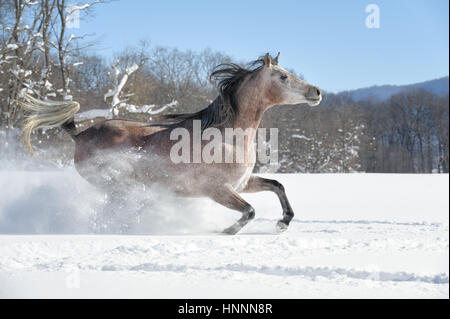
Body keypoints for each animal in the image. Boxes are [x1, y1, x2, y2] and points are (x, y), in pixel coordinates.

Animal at [20, 53, 320, 235]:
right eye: (283, 76)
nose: (316, 92)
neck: (227, 137)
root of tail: (80, 135)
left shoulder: (242, 183)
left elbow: (277, 185)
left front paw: (283, 223)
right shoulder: (217, 190)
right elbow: (250, 211)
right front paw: (226, 231)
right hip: (117, 185)